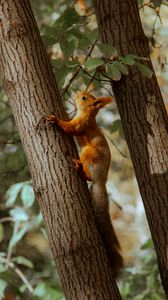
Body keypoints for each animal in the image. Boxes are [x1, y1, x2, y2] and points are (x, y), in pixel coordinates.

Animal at [46, 91, 122, 278]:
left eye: (85, 98)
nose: (79, 93)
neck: (89, 114)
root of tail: (101, 180)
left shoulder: (80, 125)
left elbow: (70, 128)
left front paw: (55, 119)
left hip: (89, 152)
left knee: (87, 175)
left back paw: (79, 168)